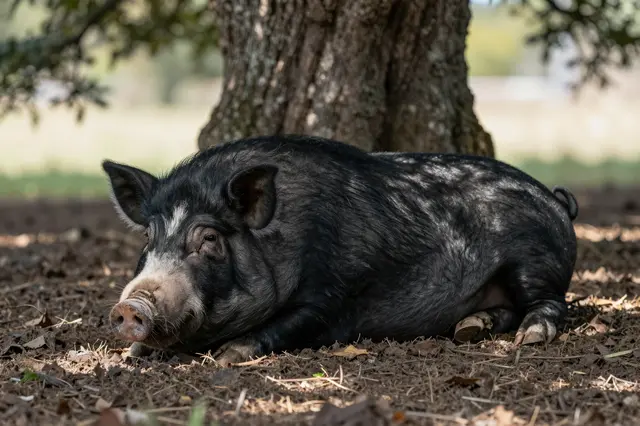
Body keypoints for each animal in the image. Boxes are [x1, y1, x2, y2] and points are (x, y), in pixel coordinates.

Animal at [102, 135, 578, 367]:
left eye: (209, 240)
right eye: (148, 238)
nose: (130, 307)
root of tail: (556, 202)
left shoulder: (331, 295)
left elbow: (286, 325)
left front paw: (227, 357)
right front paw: (133, 354)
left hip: (534, 258)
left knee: (553, 303)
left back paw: (531, 337)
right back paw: (470, 328)